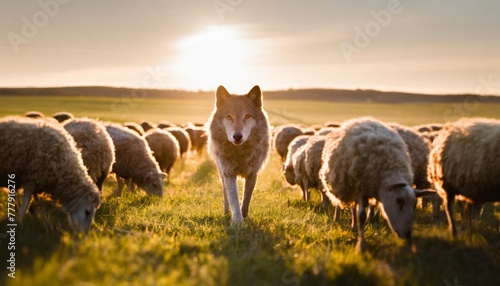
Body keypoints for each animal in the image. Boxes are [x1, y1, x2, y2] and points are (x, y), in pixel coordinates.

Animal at [206, 86, 272, 225]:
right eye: (229, 116)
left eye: (247, 116)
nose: (237, 136)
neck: (240, 152)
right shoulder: (229, 174)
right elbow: (234, 201)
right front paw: (237, 223)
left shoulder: (252, 174)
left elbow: (246, 200)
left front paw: (244, 216)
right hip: (221, 174)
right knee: (225, 195)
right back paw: (226, 213)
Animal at [320, 117, 430, 251]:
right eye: (398, 201)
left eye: (414, 204)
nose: (407, 234)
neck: (389, 168)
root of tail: (361, 120)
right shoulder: (361, 190)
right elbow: (361, 216)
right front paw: (361, 245)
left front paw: (373, 220)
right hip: (348, 184)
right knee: (350, 207)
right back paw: (347, 222)